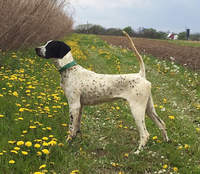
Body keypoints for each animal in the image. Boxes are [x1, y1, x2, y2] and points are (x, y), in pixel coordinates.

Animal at [35, 31, 168, 154]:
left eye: (50, 46)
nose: (36, 48)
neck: (70, 69)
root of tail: (140, 75)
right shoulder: (80, 106)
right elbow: (77, 127)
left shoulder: (74, 105)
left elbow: (71, 128)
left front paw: (67, 143)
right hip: (149, 108)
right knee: (162, 124)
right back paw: (166, 142)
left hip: (137, 109)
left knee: (145, 134)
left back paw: (137, 152)